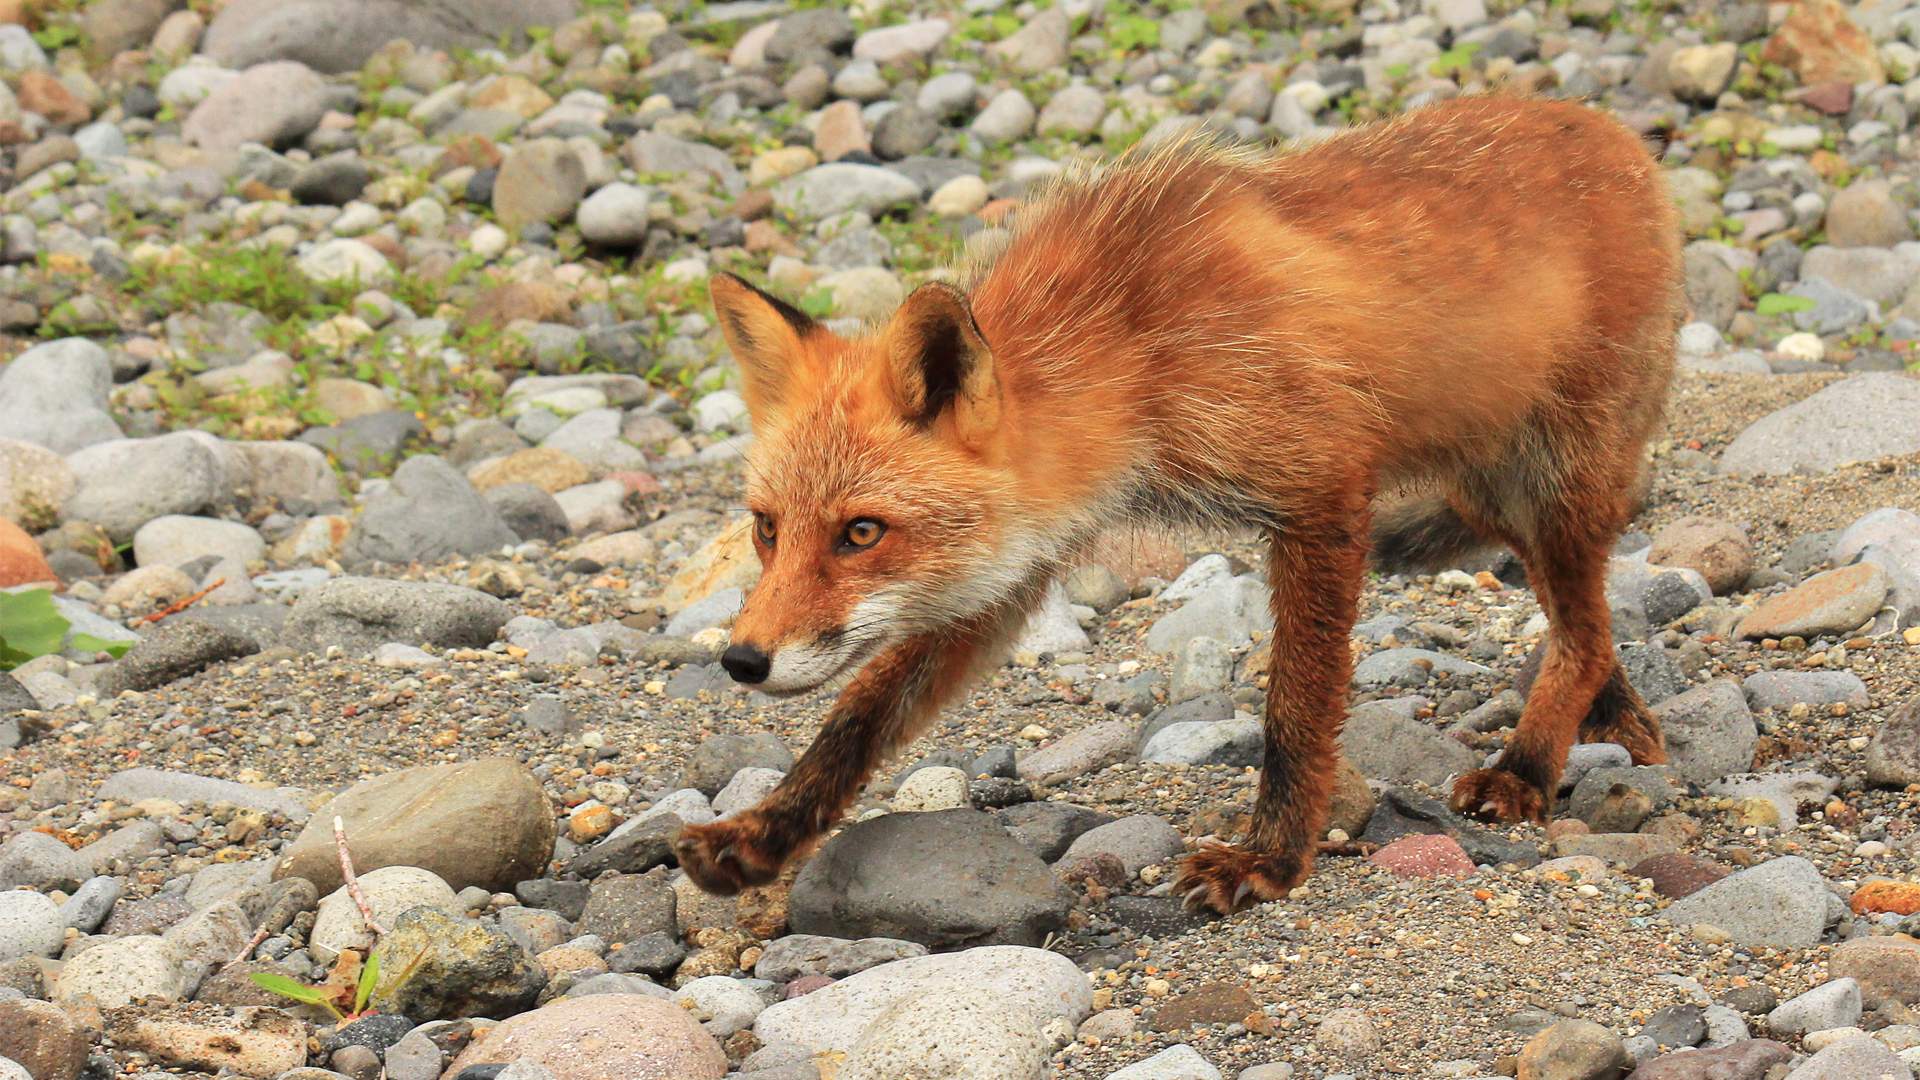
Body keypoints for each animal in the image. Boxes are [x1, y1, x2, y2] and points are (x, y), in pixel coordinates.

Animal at [675, 96, 1681, 910]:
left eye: (860, 532)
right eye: (767, 529)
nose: (741, 660)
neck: (1136, 348)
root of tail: (1613, 130)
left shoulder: (1322, 493)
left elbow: (1296, 709)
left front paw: (1270, 858)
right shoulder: (1011, 570)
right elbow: (857, 718)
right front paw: (763, 834)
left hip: (1553, 483)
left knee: (1581, 631)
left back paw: (1529, 766)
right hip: (1498, 495)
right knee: (1588, 626)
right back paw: (1616, 720)